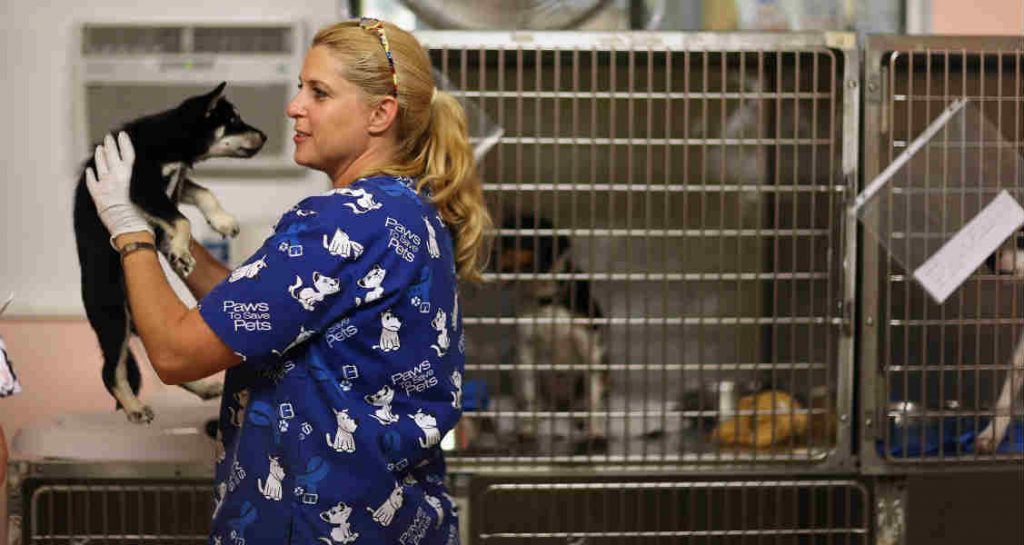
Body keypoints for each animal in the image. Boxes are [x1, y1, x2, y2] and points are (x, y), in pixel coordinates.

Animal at [74, 80, 268, 424]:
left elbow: (204, 193)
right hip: (113, 315)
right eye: (233, 121)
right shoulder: (141, 183)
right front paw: (180, 250)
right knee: (111, 371)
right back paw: (134, 406)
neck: (173, 137)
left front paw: (222, 221)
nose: (265, 136)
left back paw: (203, 387)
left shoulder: (173, 184)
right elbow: (182, 219)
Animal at [495, 212, 606, 450]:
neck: (546, 301)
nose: (490, 258)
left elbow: (595, 399)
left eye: (517, 239)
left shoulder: (591, 349)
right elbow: (528, 396)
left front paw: (596, 433)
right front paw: (527, 430)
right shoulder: (525, 350)